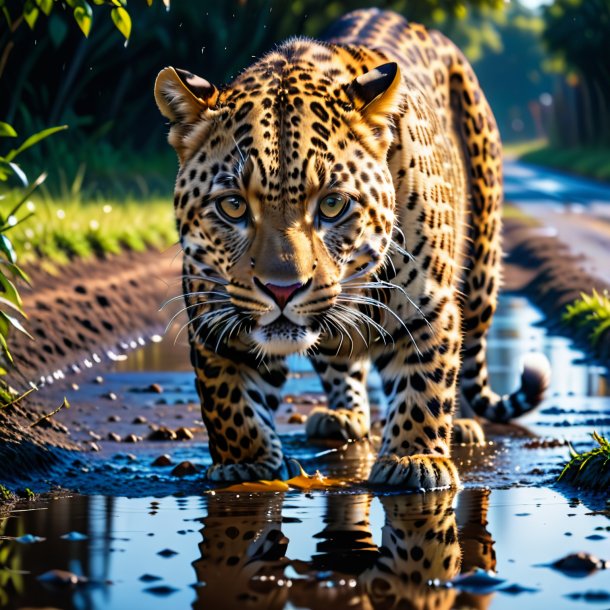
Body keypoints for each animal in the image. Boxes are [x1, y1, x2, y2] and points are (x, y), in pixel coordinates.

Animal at [151, 7, 548, 486]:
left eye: (333, 204)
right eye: (232, 206)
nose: (282, 290)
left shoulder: (430, 307)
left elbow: (425, 383)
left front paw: (415, 458)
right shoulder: (213, 313)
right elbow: (228, 399)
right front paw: (245, 461)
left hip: (482, 267)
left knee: (469, 347)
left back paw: (466, 423)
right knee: (339, 354)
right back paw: (343, 415)